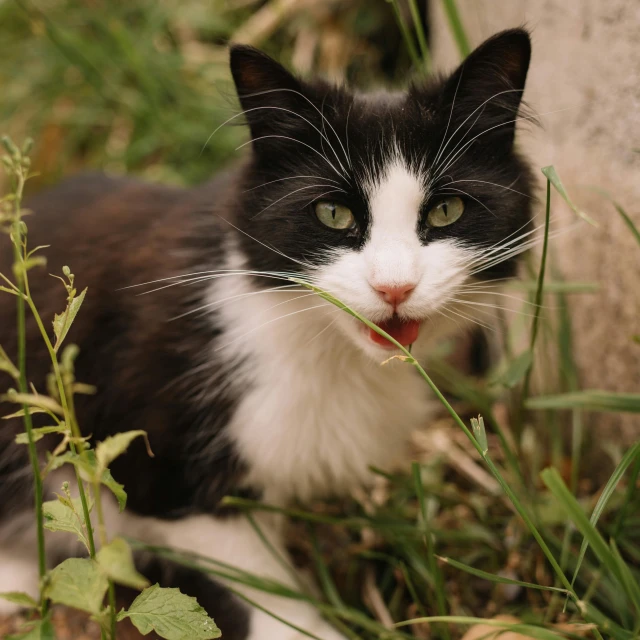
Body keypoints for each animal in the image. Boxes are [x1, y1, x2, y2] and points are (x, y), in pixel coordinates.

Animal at [0, 28, 532, 640]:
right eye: (332, 214)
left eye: (446, 211)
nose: (394, 287)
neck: (321, 343)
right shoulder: (152, 461)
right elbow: (254, 580)